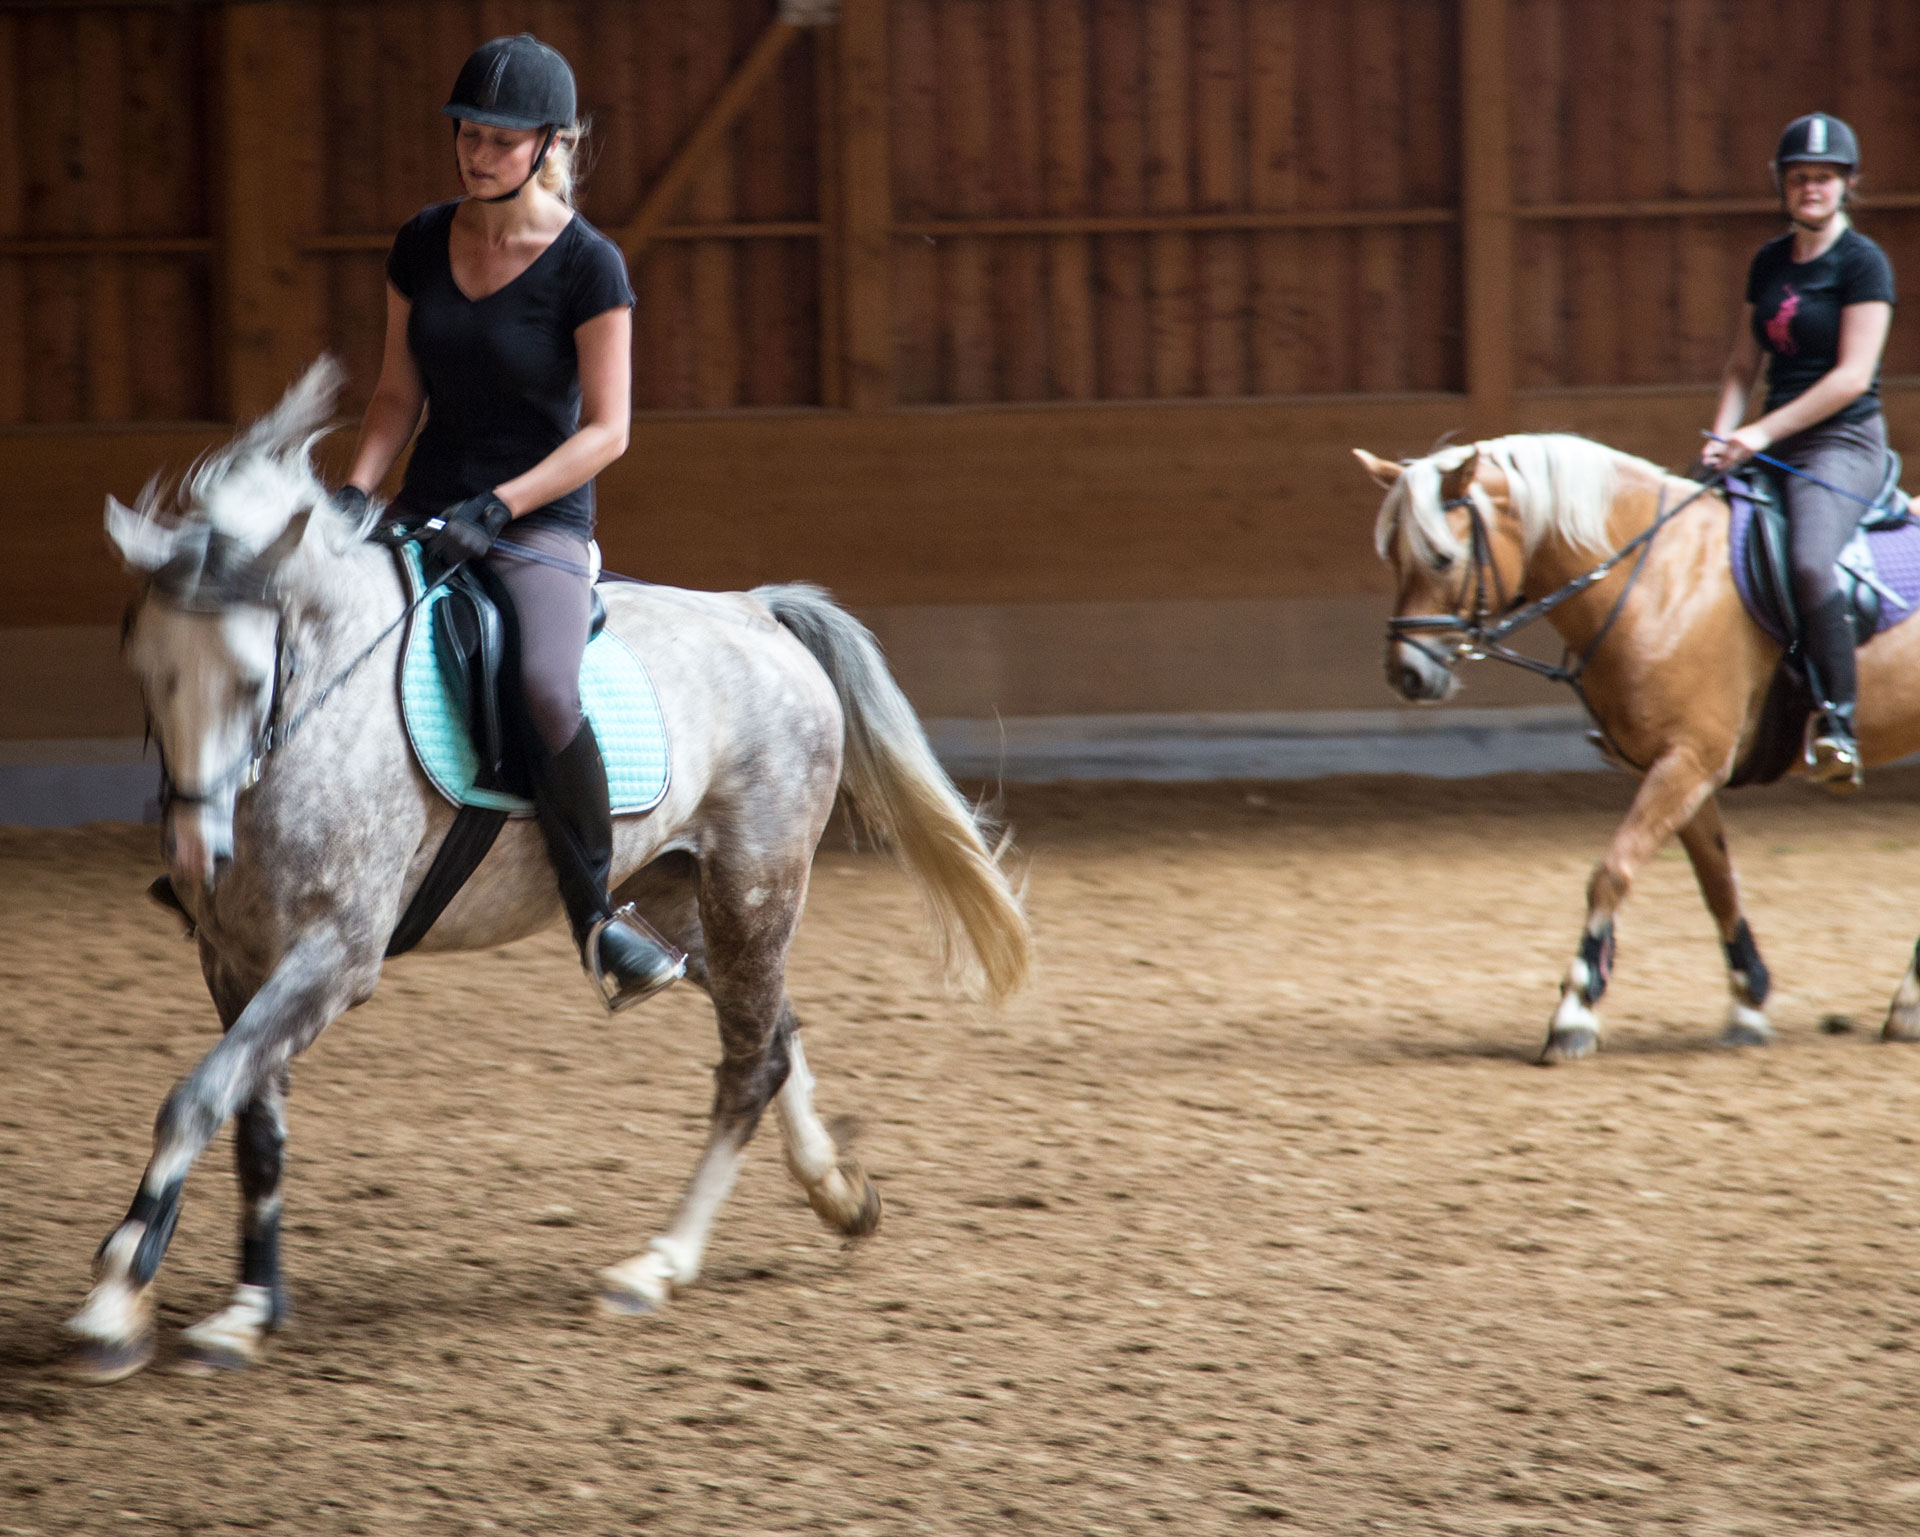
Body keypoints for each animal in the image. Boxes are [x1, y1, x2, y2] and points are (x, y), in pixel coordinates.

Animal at [63, 360, 1036, 1381]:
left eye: (254, 680)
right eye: (143, 667)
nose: (194, 851)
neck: (317, 709)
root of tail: (755, 610)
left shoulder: (332, 957)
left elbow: (197, 1097)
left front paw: (116, 1296)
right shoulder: (236, 959)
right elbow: (251, 1119)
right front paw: (247, 1308)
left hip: (755, 884)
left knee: (747, 1064)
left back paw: (659, 1262)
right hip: (678, 900)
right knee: (772, 1030)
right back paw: (836, 1191)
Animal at [1359, 425, 1920, 1059]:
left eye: (1442, 558)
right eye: (1393, 555)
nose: (1406, 674)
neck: (1655, 580)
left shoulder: (1690, 761)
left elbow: (1612, 871)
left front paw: (1575, 1010)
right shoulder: (1680, 766)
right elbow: (1718, 883)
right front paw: (1747, 1004)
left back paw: (1908, 1004)